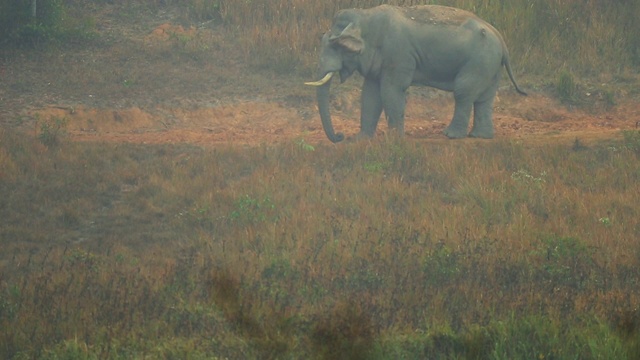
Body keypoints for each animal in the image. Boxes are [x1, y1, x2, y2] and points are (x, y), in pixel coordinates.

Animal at [304, 4, 524, 142]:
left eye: (335, 46)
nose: (340, 136)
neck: (365, 16)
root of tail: (501, 39)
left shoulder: (398, 54)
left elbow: (391, 91)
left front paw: (394, 139)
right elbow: (370, 95)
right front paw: (360, 139)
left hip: (478, 62)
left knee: (463, 92)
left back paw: (451, 135)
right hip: (490, 65)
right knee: (484, 99)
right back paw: (480, 136)